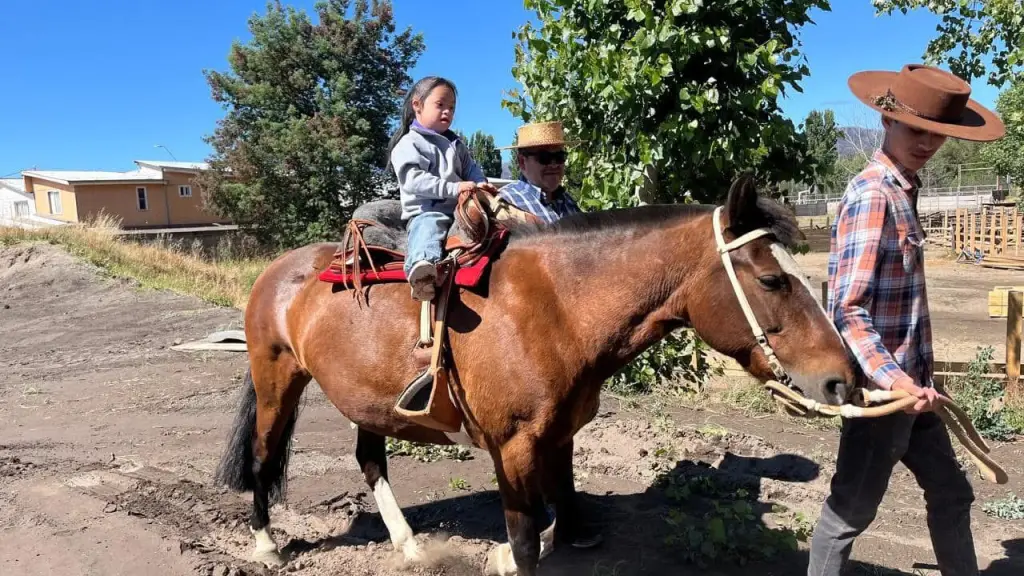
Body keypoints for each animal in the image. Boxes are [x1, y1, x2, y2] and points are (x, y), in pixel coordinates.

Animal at [213, 175, 856, 575]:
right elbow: (525, 543)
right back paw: (267, 546)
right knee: (263, 457)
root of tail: (279, 271)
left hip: (368, 401)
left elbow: (559, 511)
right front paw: (507, 553)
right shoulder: (514, 445)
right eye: (772, 280)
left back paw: (408, 545)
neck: (555, 307)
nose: (840, 379)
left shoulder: (558, 433)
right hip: (277, 382)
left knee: (370, 459)